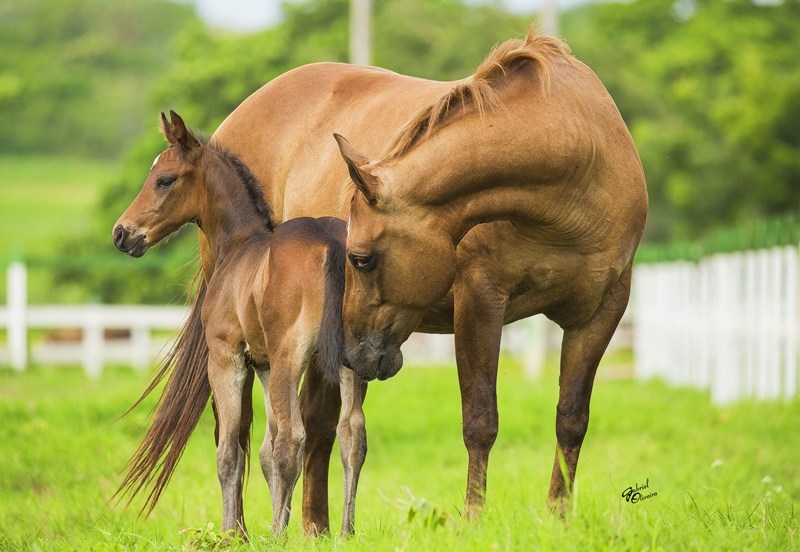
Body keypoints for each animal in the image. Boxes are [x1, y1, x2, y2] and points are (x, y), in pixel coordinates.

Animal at [111, 112, 368, 540]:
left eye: (165, 179)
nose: (121, 233)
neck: (239, 246)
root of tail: (332, 243)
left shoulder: (226, 356)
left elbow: (230, 450)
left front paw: (232, 533)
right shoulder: (261, 364)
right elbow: (264, 450)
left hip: (289, 359)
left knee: (293, 439)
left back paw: (279, 534)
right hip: (350, 360)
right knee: (352, 434)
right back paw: (346, 531)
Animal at [131, 25, 644, 528]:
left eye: (359, 258)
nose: (355, 352)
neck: (576, 165)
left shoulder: (603, 312)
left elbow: (571, 419)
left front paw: (559, 519)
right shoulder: (480, 302)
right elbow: (481, 420)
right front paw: (475, 521)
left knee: (315, 426)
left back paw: (317, 528)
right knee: (238, 429)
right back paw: (243, 530)